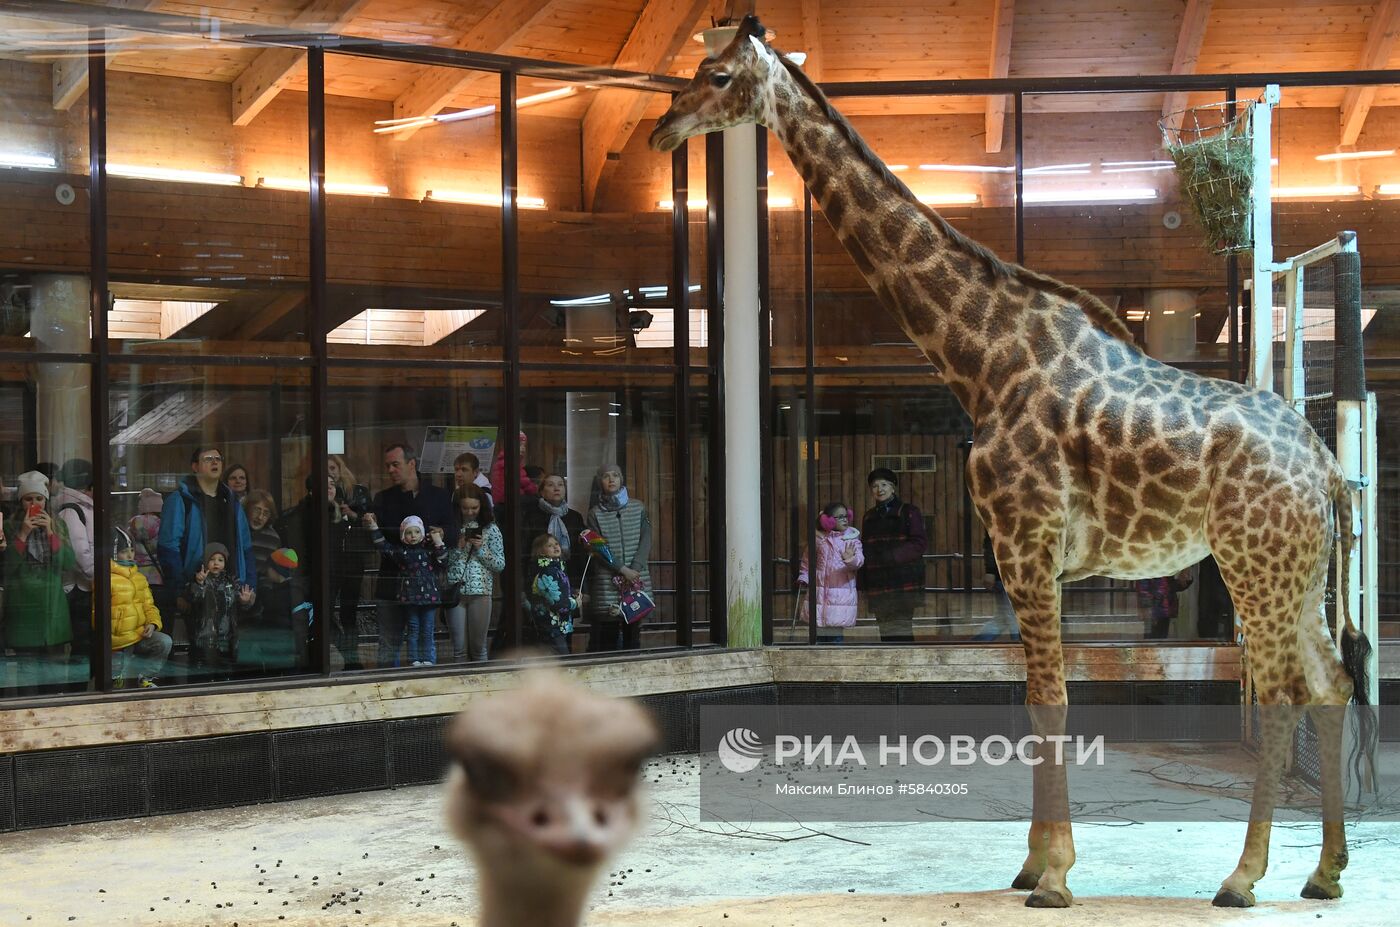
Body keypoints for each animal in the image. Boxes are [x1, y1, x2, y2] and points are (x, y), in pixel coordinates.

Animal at [649, 18, 1372, 912]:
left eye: (716, 75)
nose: (663, 127)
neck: (984, 361)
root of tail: (1327, 463)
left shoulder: (1027, 545)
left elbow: (1049, 701)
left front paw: (1055, 875)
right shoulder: (1018, 555)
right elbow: (1031, 702)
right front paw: (1031, 863)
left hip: (1254, 562)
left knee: (1279, 694)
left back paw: (1242, 877)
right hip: (1298, 569)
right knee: (1331, 683)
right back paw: (1324, 871)